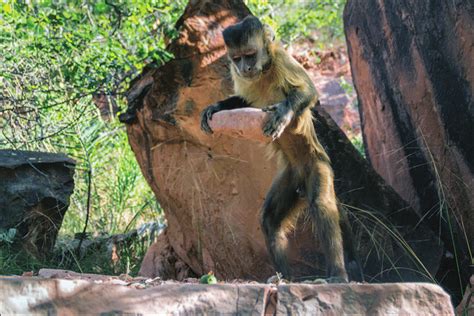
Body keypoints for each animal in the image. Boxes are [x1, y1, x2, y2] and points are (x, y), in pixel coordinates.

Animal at [201, 15, 356, 284]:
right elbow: (244, 100)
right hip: (291, 175)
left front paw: (284, 112)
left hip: (317, 165)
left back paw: (337, 274)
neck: (263, 70)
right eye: (237, 58)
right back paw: (284, 277)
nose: (245, 68)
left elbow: (308, 92)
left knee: (321, 206)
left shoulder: (281, 58)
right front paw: (215, 107)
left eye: (250, 55)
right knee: (270, 220)